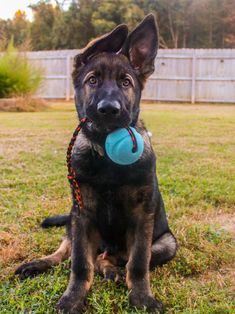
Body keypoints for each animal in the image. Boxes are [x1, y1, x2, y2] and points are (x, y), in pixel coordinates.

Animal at [15, 14, 177, 314]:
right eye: (92, 80)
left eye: (126, 83)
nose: (108, 109)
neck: (106, 158)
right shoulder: (82, 214)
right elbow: (79, 263)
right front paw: (72, 298)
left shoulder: (142, 217)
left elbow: (138, 263)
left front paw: (142, 298)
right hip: (73, 221)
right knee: (66, 251)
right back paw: (38, 263)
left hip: (167, 243)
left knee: (114, 259)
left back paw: (112, 270)